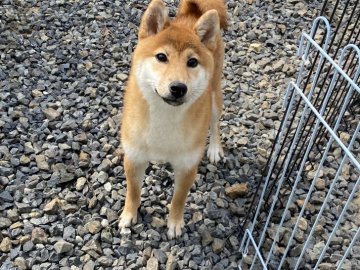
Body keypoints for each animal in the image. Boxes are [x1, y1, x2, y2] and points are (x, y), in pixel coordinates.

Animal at [119, 0, 226, 238]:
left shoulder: (187, 165)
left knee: (215, 124)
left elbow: (178, 199)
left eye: (192, 62)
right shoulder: (134, 156)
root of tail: (190, 15)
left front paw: (174, 224)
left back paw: (215, 148)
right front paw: (129, 215)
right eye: (161, 57)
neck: (164, 118)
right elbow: (133, 191)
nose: (178, 88)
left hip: (214, 96)